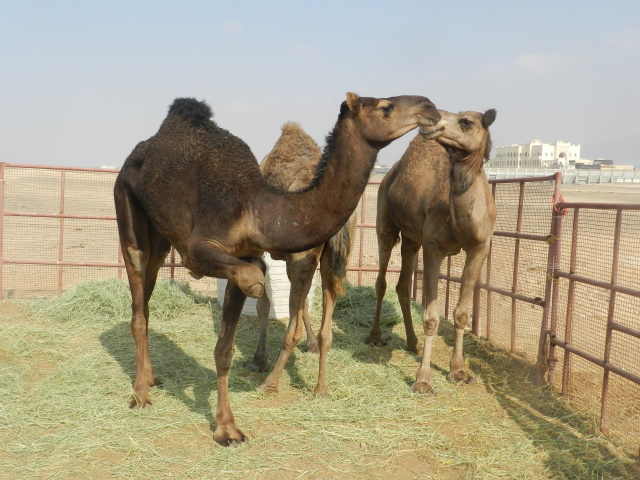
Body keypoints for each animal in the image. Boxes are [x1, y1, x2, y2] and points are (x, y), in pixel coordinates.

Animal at [243, 122, 357, 398]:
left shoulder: (263, 251)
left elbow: (264, 304)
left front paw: (257, 360)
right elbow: (302, 304)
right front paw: (312, 345)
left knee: (291, 329)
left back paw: (270, 382)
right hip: (331, 261)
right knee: (327, 326)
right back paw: (321, 387)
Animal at [366, 108, 497, 394]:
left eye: (466, 122)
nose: (430, 123)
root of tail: (389, 175)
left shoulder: (480, 247)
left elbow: (461, 314)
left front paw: (459, 370)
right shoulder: (433, 247)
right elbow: (431, 317)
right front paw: (423, 380)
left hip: (412, 239)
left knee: (402, 285)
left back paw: (412, 342)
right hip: (385, 223)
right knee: (381, 280)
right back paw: (375, 336)